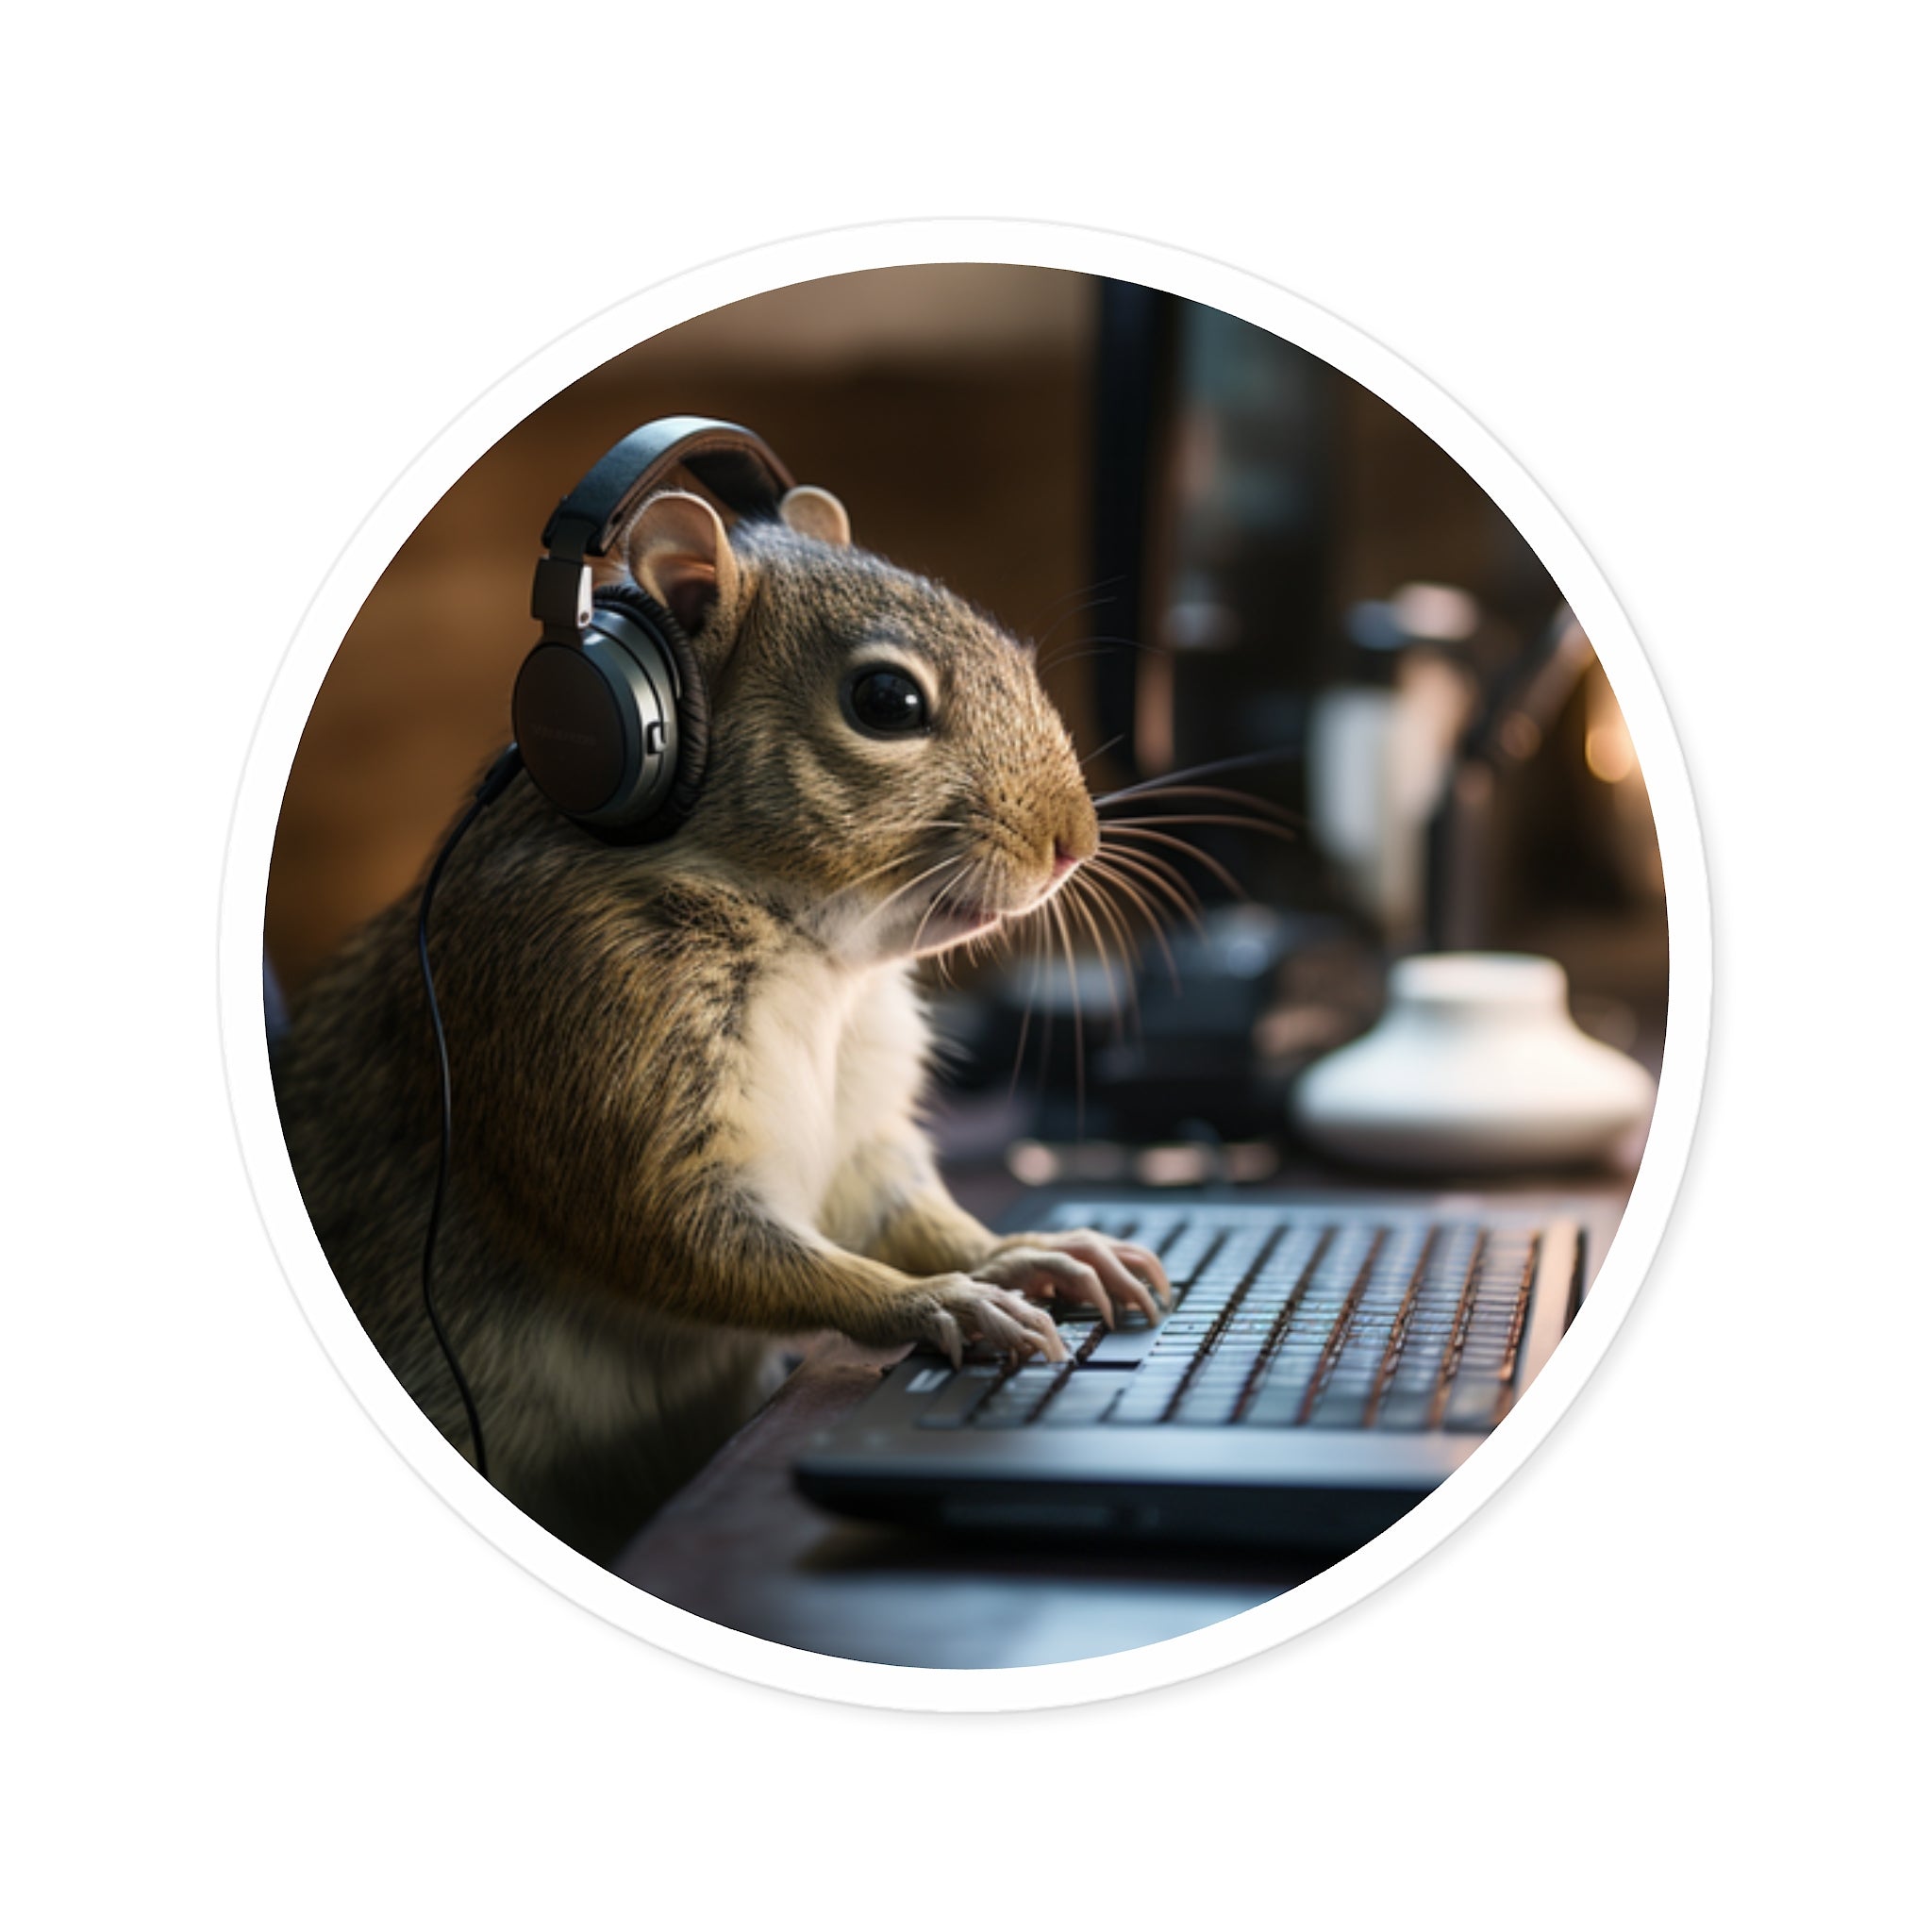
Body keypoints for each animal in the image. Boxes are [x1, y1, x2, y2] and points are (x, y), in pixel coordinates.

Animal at [272, 480, 1170, 1561]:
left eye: (1014, 650)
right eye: (886, 702)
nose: (1075, 842)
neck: (820, 962)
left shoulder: (859, 1131)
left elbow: (891, 1209)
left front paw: (1028, 1251)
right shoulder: (580, 1024)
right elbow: (681, 1233)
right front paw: (935, 1301)